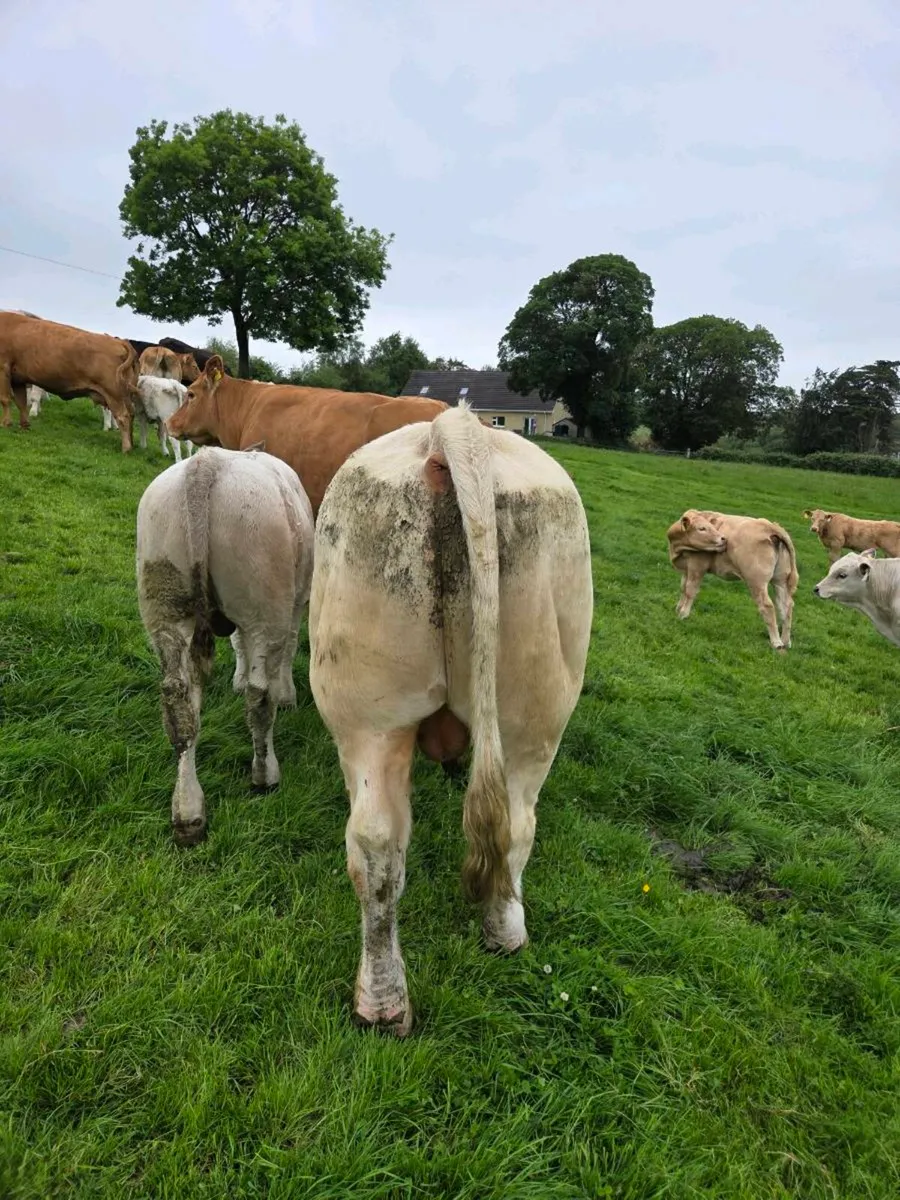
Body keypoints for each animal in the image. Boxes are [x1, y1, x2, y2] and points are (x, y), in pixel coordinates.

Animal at [0, 312, 139, 449]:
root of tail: (119, 342)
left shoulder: (3, 368)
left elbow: (5, 399)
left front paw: (6, 424)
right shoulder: (17, 379)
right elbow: (21, 402)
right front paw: (24, 426)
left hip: (113, 393)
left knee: (123, 416)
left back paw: (126, 448)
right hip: (125, 395)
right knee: (131, 414)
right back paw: (131, 444)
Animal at [136, 447, 315, 845]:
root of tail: (206, 464)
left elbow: (235, 645)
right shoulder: (295, 601)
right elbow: (288, 647)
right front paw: (288, 696)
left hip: (164, 601)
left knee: (178, 704)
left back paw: (188, 812)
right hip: (264, 600)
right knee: (259, 698)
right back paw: (264, 775)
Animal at [308, 403, 594, 1035]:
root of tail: (455, 431)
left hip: (368, 713)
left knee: (379, 843)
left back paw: (389, 1000)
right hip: (529, 713)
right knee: (504, 825)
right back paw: (490, 943)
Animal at [666, 509, 798, 650]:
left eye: (709, 526)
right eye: (701, 528)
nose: (723, 538)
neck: (677, 547)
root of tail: (770, 526)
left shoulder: (697, 566)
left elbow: (690, 591)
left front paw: (683, 614)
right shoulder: (686, 568)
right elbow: (683, 588)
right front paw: (678, 609)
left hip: (756, 581)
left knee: (767, 605)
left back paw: (776, 642)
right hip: (780, 581)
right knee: (786, 606)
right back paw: (785, 641)